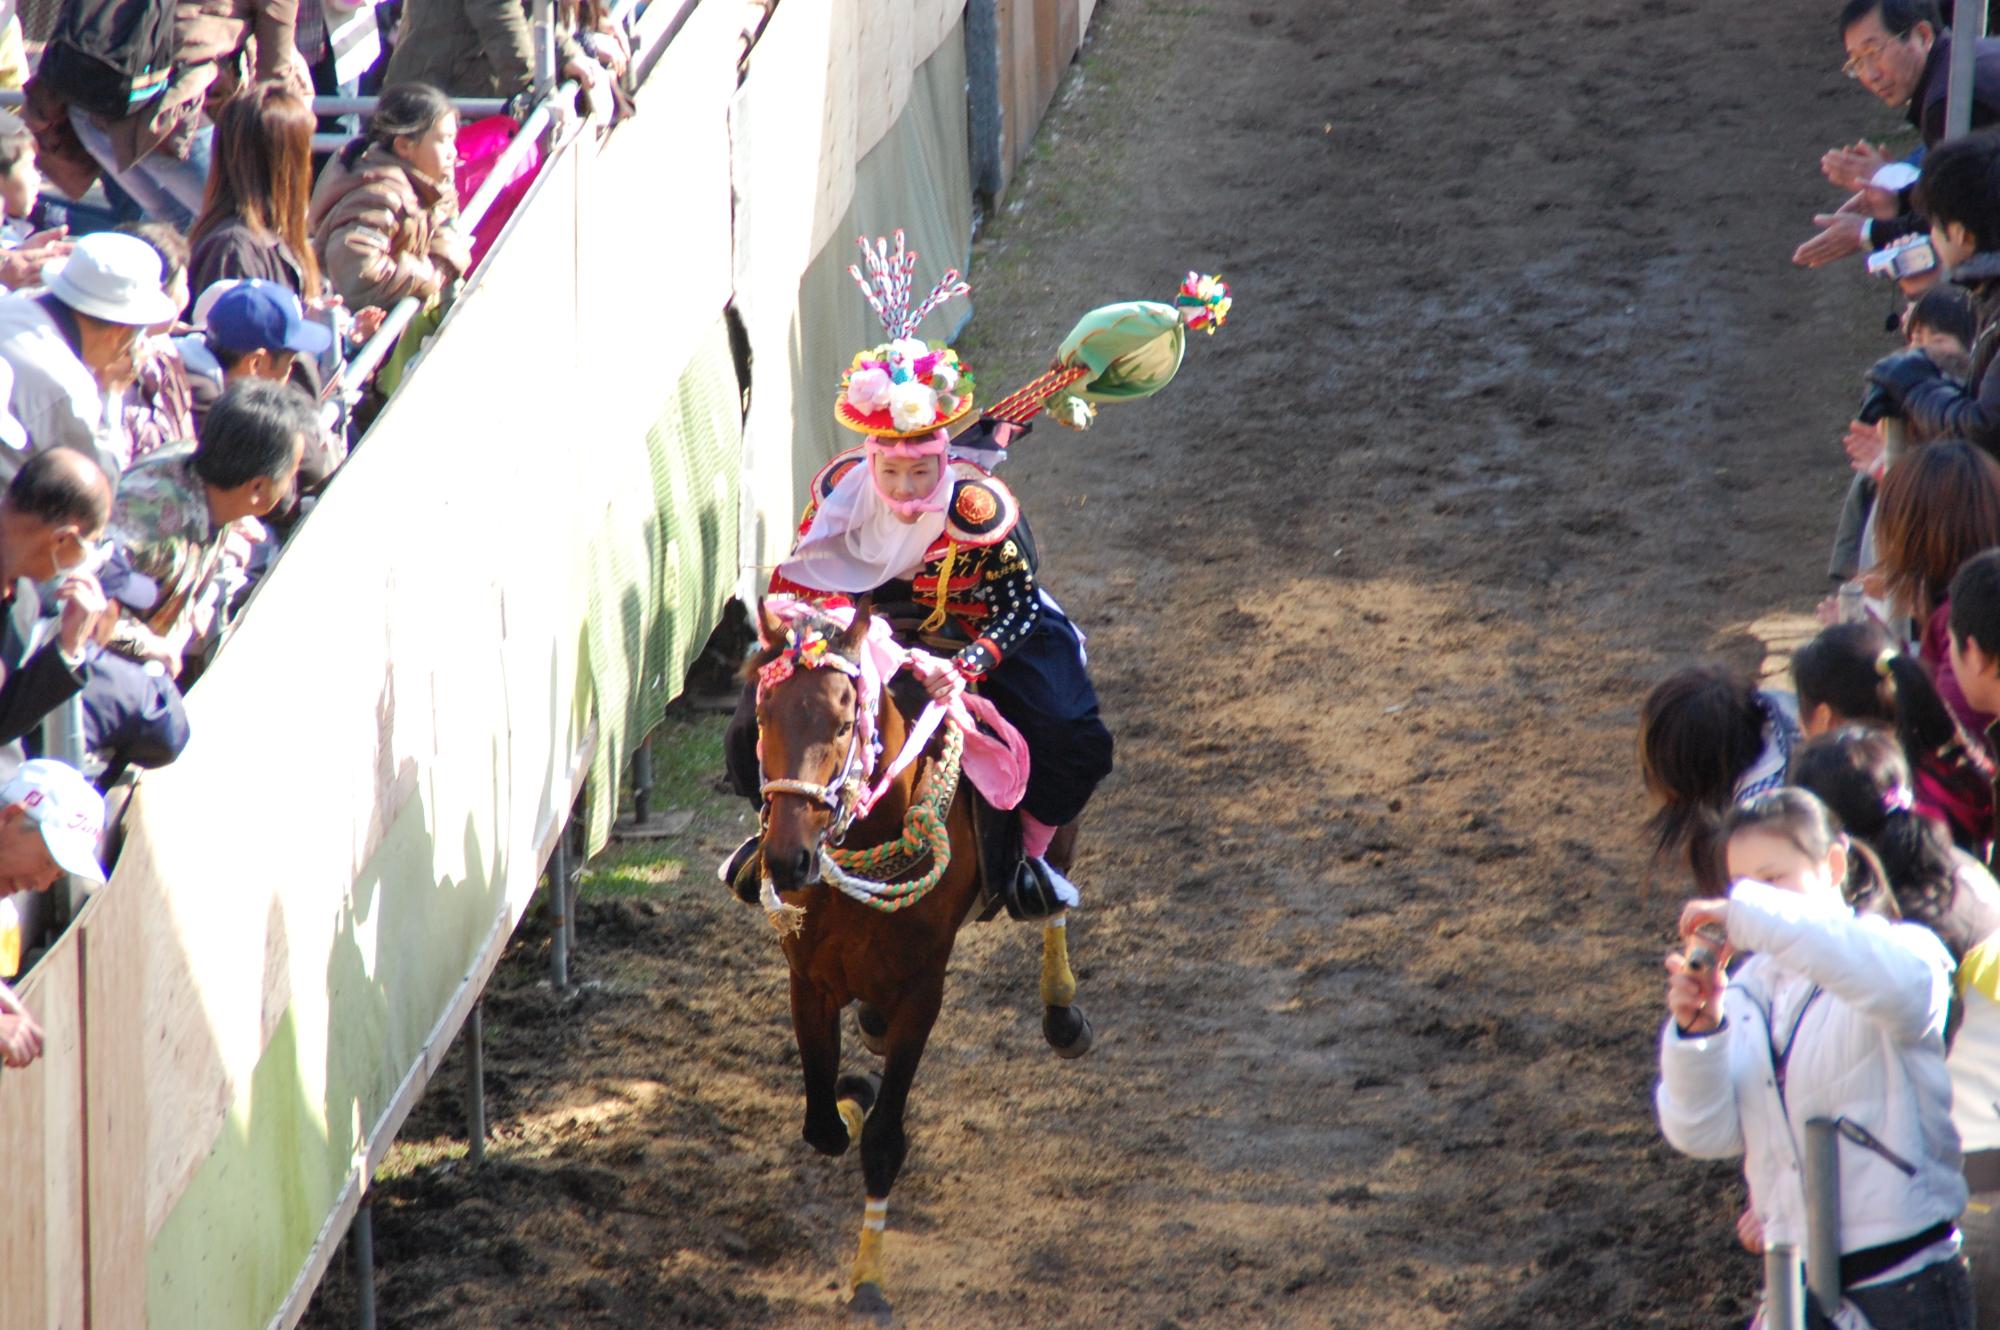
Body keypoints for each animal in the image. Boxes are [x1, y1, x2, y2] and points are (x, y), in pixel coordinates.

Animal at [752, 600, 1096, 1320]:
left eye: (840, 722)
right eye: (763, 718)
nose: (788, 860)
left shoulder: (920, 992)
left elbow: (883, 1141)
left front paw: (868, 1281)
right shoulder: (808, 982)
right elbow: (823, 1126)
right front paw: (853, 1093)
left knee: (1053, 881)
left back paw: (1061, 1005)